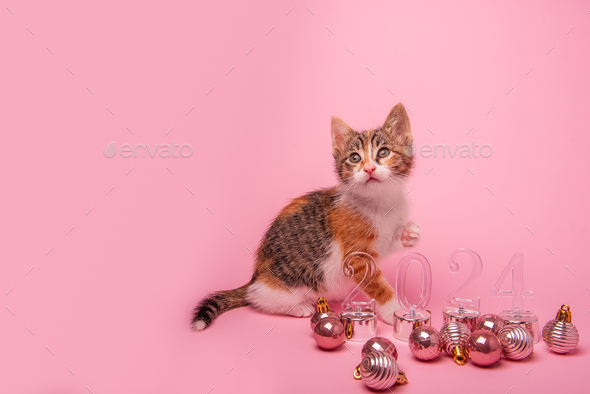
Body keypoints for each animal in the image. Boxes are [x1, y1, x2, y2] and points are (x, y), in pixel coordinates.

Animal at [194, 103, 420, 330]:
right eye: (354, 158)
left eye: (384, 152)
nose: (369, 168)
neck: (380, 202)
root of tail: (255, 277)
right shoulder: (357, 258)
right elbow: (377, 284)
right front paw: (392, 310)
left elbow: (388, 244)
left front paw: (409, 234)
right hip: (283, 286)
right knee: (257, 298)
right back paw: (297, 307)